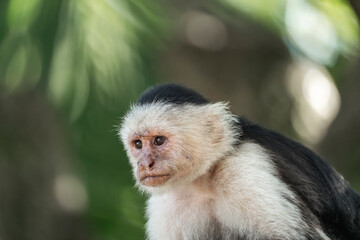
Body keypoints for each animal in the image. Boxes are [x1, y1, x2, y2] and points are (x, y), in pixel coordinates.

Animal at [119, 83, 360, 239]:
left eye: (159, 141)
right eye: (138, 144)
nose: (144, 164)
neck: (204, 179)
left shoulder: (243, 168)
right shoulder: (168, 205)